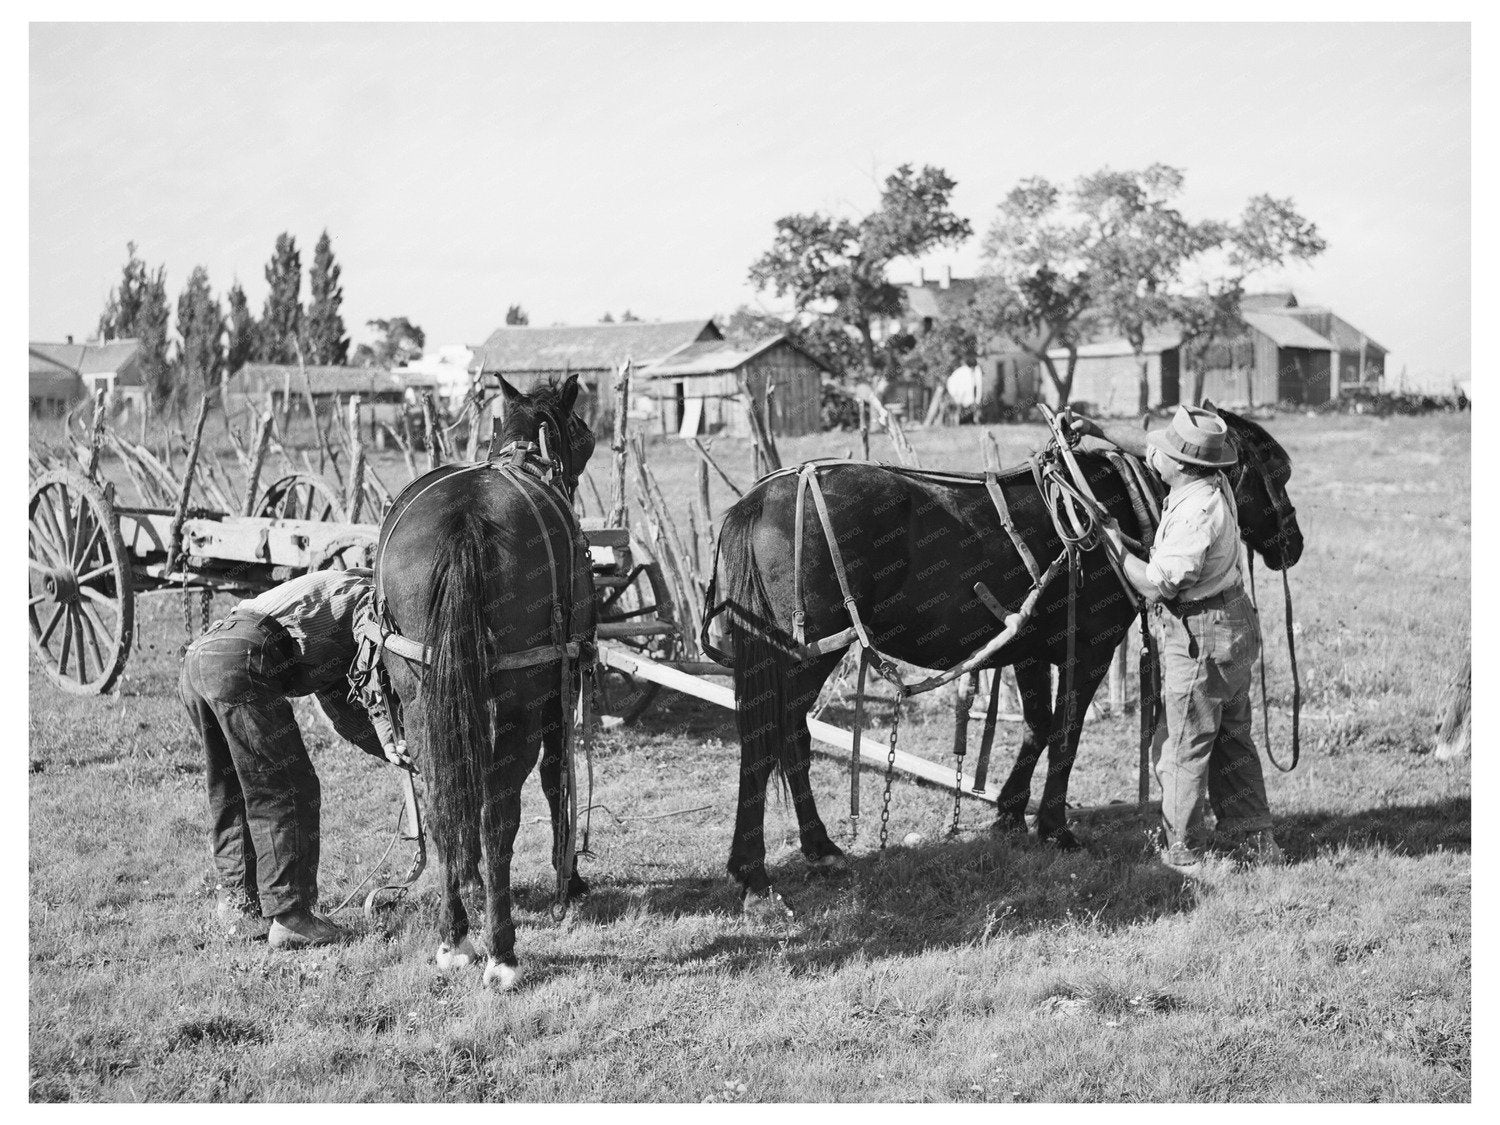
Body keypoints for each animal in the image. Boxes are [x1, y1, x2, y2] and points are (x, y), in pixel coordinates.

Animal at [373, 374, 596, 989]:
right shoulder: (558, 693)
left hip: (421, 693)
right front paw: (569, 880)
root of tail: (465, 522)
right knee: (500, 814)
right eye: (583, 433)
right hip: (519, 702)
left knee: (442, 798)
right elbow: (556, 779)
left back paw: (455, 934)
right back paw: (501, 950)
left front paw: (470, 884)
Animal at [702, 405, 1301, 914]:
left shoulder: (1028, 650)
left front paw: (1011, 812)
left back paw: (816, 849)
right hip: (803, 658)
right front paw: (1055, 827)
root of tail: (761, 500)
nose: (1292, 544)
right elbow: (1066, 731)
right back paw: (757, 874)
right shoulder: (1091, 647)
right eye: (1276, 469)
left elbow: (1037, 726)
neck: (1105, 502)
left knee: (788, 741)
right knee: (770, 743)